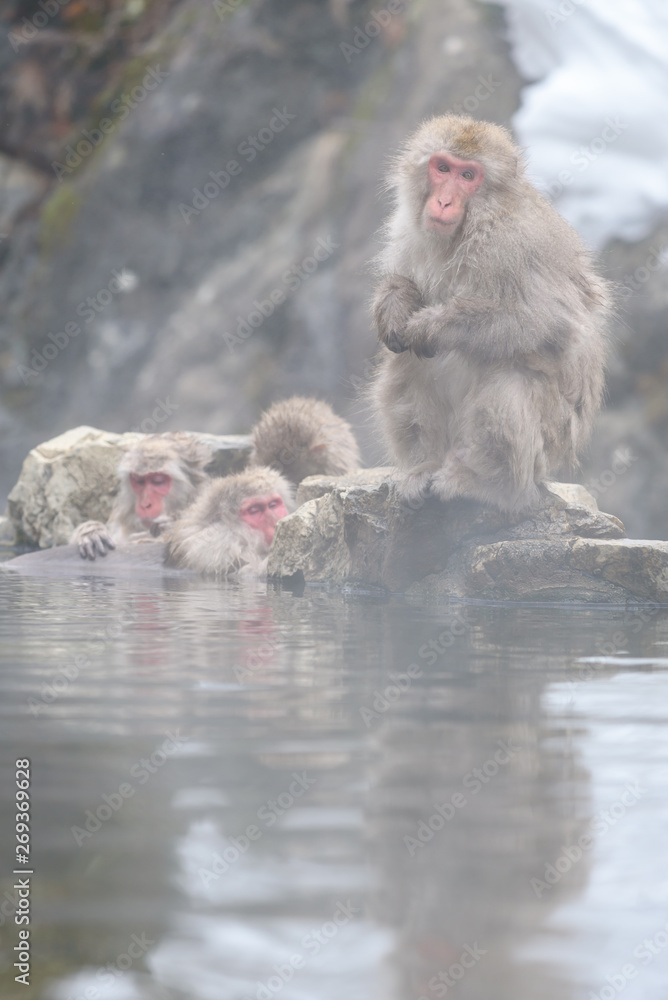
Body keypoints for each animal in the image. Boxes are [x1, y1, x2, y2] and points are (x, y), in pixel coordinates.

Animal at [370, 113, 612, 512]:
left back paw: (491, 485)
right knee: (406, 362)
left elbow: (541, 320)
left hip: (549, 443)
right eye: (442, 168)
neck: (469, 225)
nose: (443, 201)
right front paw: (396, 305)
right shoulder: (407, 228)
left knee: (509, 376)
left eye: (468, 176)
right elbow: (404, 284)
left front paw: (433, 325)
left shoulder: (512, 242)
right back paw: (426, 467)